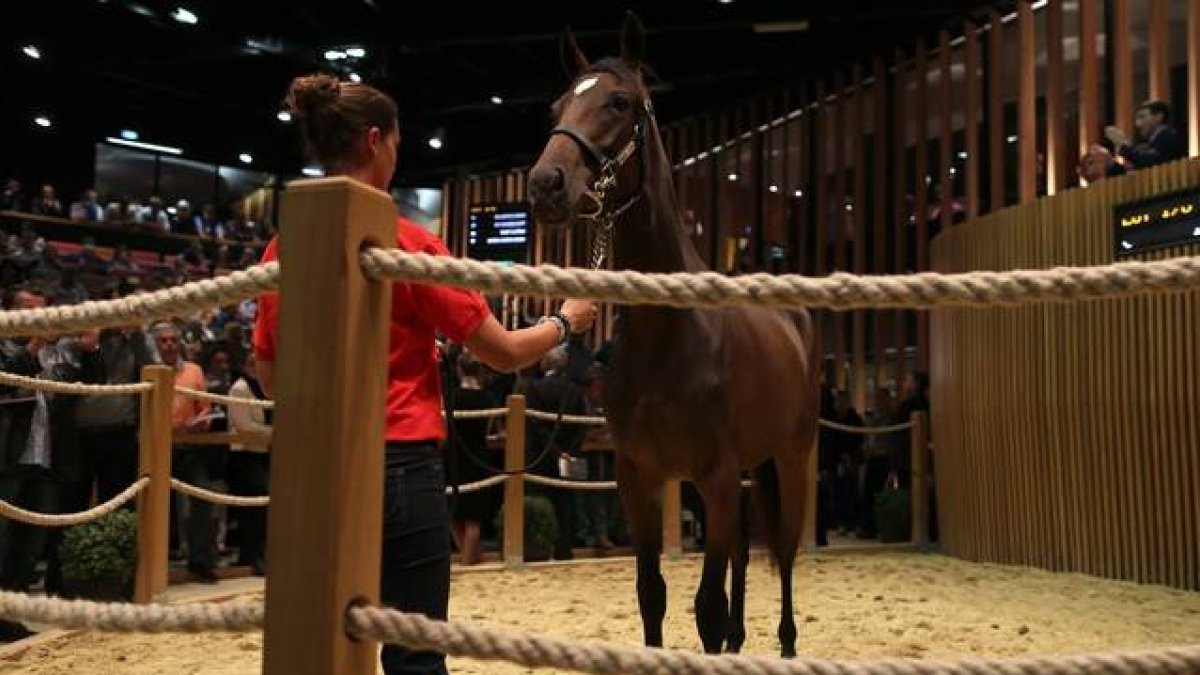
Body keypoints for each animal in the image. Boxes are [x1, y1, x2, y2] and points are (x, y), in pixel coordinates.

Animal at [530, 10, 820, 653]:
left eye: (619, 102)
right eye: (558, 103)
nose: (545, 183)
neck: (672, 333)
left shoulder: (714, 477)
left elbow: (706, 606)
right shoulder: (640, 480)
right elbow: (652, 594)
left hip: (790, 458)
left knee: (785, 552)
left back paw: (786, 643)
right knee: (743, 553)